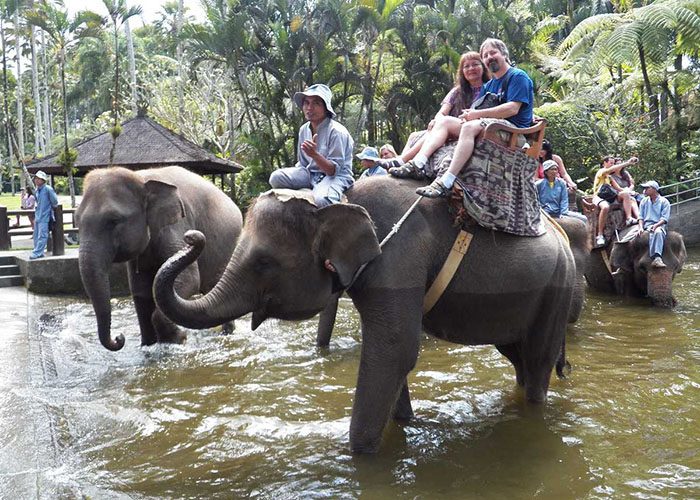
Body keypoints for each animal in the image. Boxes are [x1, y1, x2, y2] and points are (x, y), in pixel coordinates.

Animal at [76, 166, 242, 351]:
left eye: (114, 220)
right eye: (76, 221)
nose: (119, 337)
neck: (140, 178)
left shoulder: (176, 226)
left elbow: (189, 278)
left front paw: (178, 338)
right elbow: (140, 290)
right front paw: (148, 345)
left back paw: (226, 333)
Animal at [153, 177, 577, 453]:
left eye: (263, 263)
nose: (193, 237)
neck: (337, 201)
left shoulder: (398, 259)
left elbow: (395, 348)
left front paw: (358, 456)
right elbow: (393, 354)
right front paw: (404, 423)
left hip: (557, 290)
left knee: (537, 360)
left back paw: (533, 412)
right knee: (518, 357)